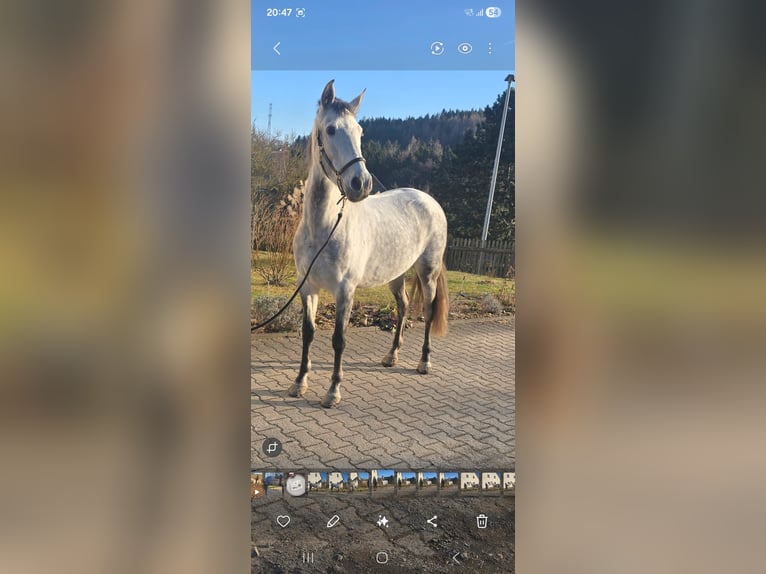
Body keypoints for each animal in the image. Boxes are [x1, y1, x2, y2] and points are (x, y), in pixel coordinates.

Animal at [288, 80, 449, 408]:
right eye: (331, 129)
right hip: (396, 275)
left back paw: (424, 362)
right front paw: (299, 383)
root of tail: (429, 201)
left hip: (427, 272)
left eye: (360, 131)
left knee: (427, 312)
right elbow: (308, 333)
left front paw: (333, 391)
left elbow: (339, 340)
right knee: (403, 307)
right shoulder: (307, 286)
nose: (361, 184)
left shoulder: (344, 290)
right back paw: (391, 356)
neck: (322, 228)